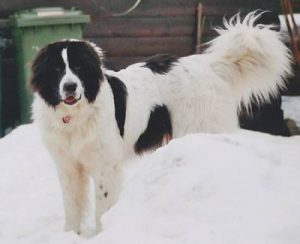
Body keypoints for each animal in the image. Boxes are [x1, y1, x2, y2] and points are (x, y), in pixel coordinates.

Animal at [29, 12, 290, 234]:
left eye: (78, 67)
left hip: (199, 130)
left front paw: (101, 234)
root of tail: (211, 65)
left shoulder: (106, 167)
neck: (74, 116)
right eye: (57, 69)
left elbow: (103, 207)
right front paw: (70, 234)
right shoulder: (68, 167)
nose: (70, 86)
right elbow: (72, 206)